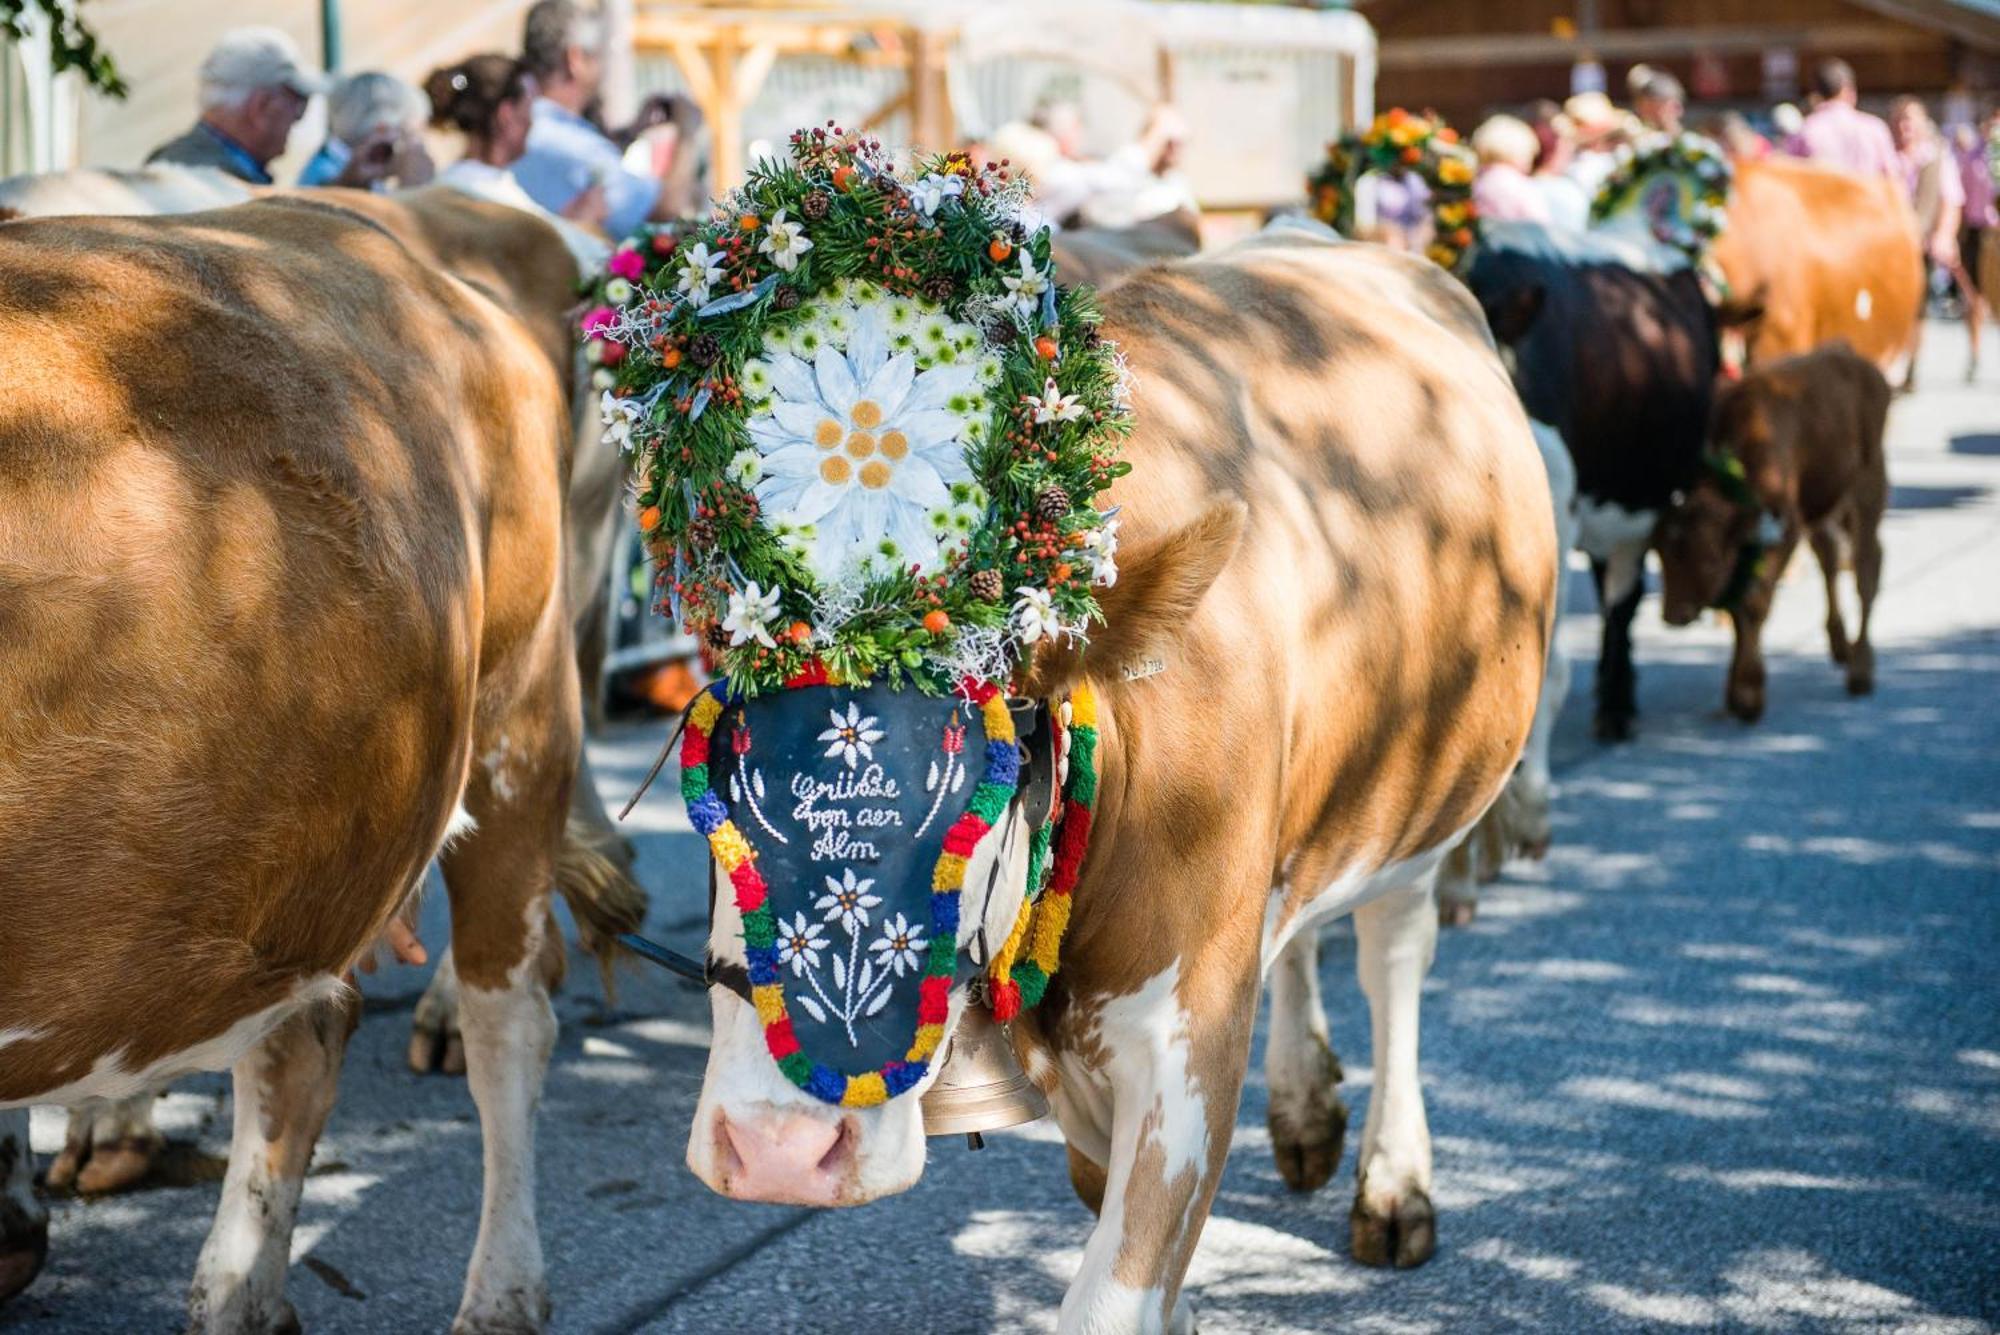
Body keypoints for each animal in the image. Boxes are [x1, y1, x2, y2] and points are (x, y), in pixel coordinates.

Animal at [0, 192, 608, 1327]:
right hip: (293, 843)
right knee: (299, 1034)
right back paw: (240, 1291)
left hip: (522, 718)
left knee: (510, 1028)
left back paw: (500, 1293)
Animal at [592, 129, 1560, 1327]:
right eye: (710, 794)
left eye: (981, 788)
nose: (778, 1152)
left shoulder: (1191, 1036)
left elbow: (1112, 1293)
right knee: (1303, 935)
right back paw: (1306, 1111)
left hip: (1422, 799)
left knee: (1391, 953)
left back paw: (1392, 1182)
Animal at [1648, 343, 1880, 719]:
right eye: (1660, 555)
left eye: (1710, 561)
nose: (1674, 615)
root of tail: (1850, 356)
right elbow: (1738, 608)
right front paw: (1735, 692)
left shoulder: (1786, 529)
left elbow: (1755, 603)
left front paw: (1748, 694)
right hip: (1825, 504)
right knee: (1830, 556)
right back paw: (1839, 644)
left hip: (1868, 486)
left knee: (1866, 568)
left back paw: (1860, 671)